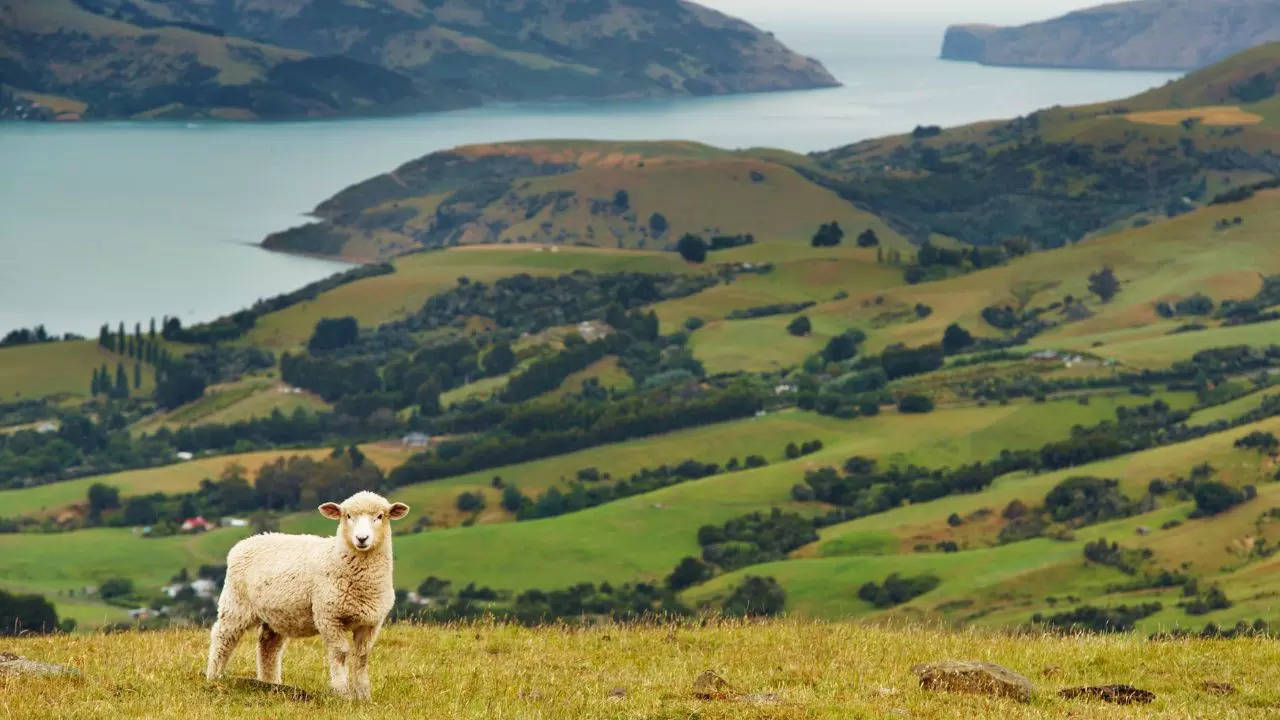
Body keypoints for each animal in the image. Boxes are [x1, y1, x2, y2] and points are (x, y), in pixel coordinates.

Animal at [203, 489, 409, 696]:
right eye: (348, 516)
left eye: (380, 516)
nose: (362, 538)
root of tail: (245, 542)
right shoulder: (329, 616)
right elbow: (340, 653)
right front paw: (342, 693)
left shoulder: (371, 622)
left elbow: (362, 657)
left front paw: (363, 695)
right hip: (236, 603)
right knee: (223, 637)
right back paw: (214, 677)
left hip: (276, 615)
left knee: (268, 647)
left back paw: (271, 684)